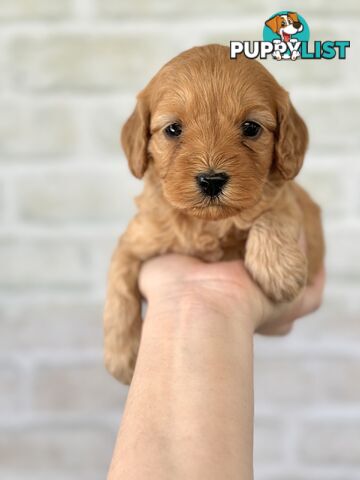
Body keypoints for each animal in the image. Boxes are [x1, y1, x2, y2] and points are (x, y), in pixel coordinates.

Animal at [102, 43, 324, 384]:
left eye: (251, 128)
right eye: (173, 129)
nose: (211, 180)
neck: (207, 224)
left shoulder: (292, 202)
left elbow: (274, 214)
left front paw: (279, 270)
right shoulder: (136, 237)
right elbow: (119, 283)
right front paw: (121, 356)